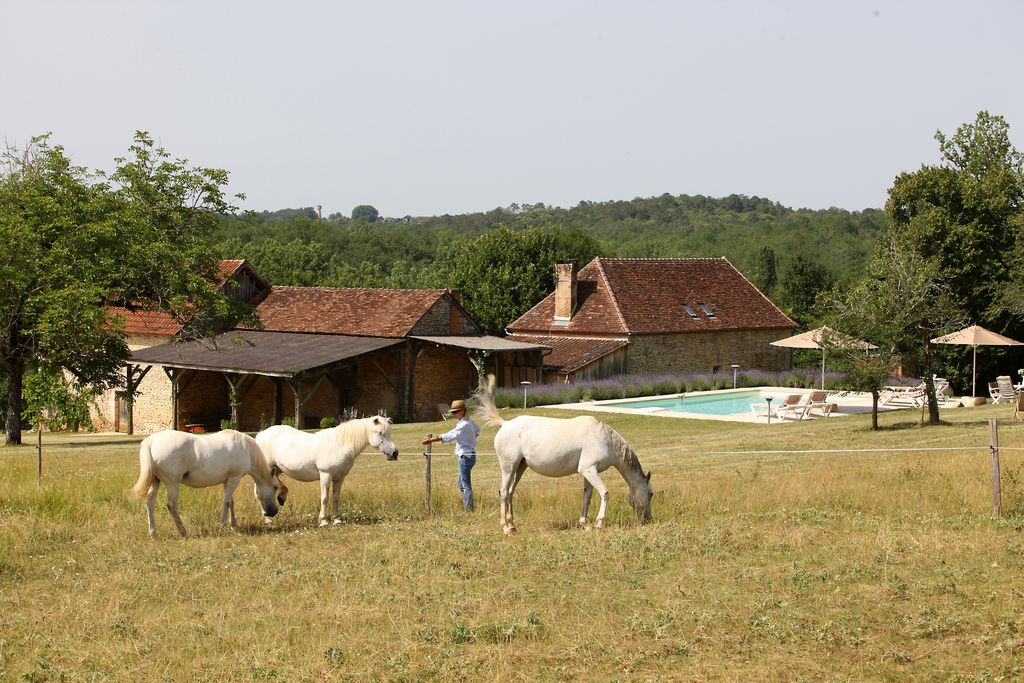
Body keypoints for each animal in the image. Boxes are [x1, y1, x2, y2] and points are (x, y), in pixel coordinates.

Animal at [133, 430, 284, 536]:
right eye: (275, 487)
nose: (273, 512)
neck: (246, 448)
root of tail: (152, 440)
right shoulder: (234, 478)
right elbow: (227, 503)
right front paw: (223, 525)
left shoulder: (227, 481)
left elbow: (231, 502)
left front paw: (233, 525)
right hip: (173, 484)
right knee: (171, 505)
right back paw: (183, 531)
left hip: (156, 481)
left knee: (150, 504)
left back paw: (153, 533)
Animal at [253, 413, 397, 528]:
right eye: (380, 433)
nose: (395, 453)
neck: (340, 445)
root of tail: (260, 435)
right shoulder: (326, 475)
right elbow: (324, 497)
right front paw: (323, 521)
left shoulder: (339, 477)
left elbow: (336, 497)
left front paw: (336, 520)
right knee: (259, 492)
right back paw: (267, 519)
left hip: (276, 469)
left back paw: (281, 497)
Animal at [475, 376, 651, 536]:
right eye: (650, 494)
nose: (648, 519)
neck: (605, 439)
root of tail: (504, 424)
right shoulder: (589, 470)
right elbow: (605, 493)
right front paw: (599, 523)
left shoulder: (588, 472)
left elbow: (587, 497)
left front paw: (585, 524)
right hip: (508, 467)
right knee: (504, 492)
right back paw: (505, 528)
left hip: (520, 467)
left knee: (510, 492)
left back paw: (512, 526)